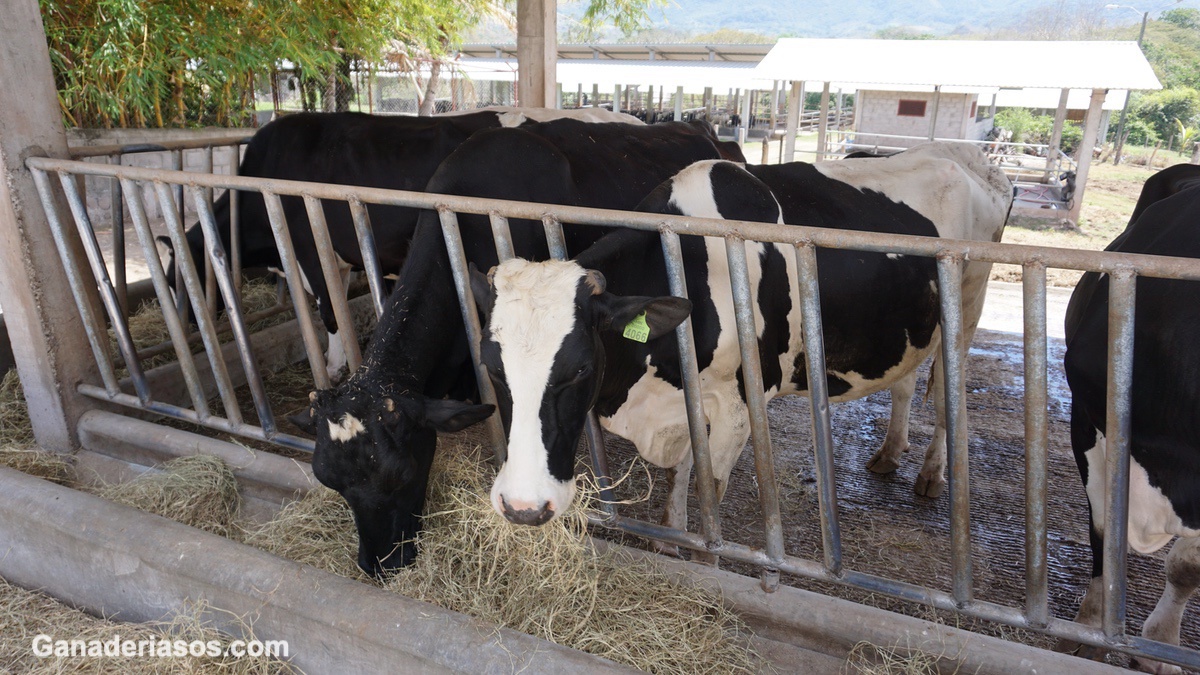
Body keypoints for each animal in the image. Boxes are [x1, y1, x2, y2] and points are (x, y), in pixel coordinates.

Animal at [468, 141, 1012, 530]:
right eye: (492, 367)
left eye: (581, 367)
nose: (522, 507)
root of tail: (964, 156)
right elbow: (680, 482)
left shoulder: (740, 402)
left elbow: (707, 488)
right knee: (904, 382)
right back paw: (889, 454)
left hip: (967, 306)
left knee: (946, 396)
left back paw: (932, 473)